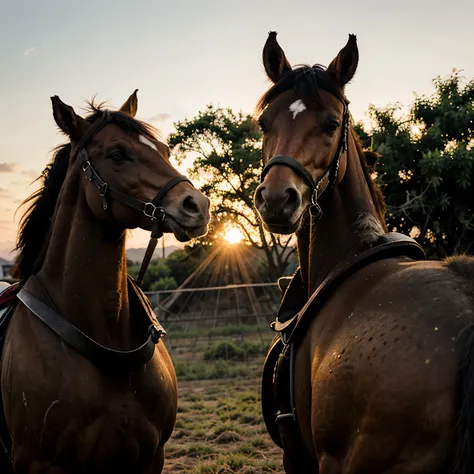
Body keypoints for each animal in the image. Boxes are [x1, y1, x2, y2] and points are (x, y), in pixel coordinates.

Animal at [0, 90, 210, 472]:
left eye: (165, 150)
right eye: (117, 154)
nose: (197, 206)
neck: (104, 338)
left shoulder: (150, 457)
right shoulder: (38, 462)